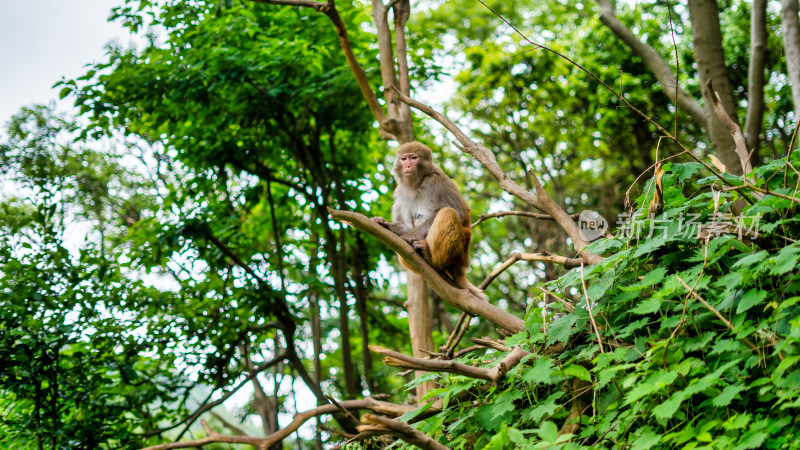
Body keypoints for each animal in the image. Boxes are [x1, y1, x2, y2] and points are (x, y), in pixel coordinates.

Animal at [372, 142, 484, 300]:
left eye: (414, 158)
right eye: (404, 159)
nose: (407, 165)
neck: (417, 184)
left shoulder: (435, 183)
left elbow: (457, 212)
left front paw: (408, 237)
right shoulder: (401, 192)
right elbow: (407, 225)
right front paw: (384, 224)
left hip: (461, 250)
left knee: (448, 212)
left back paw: (432, 258)